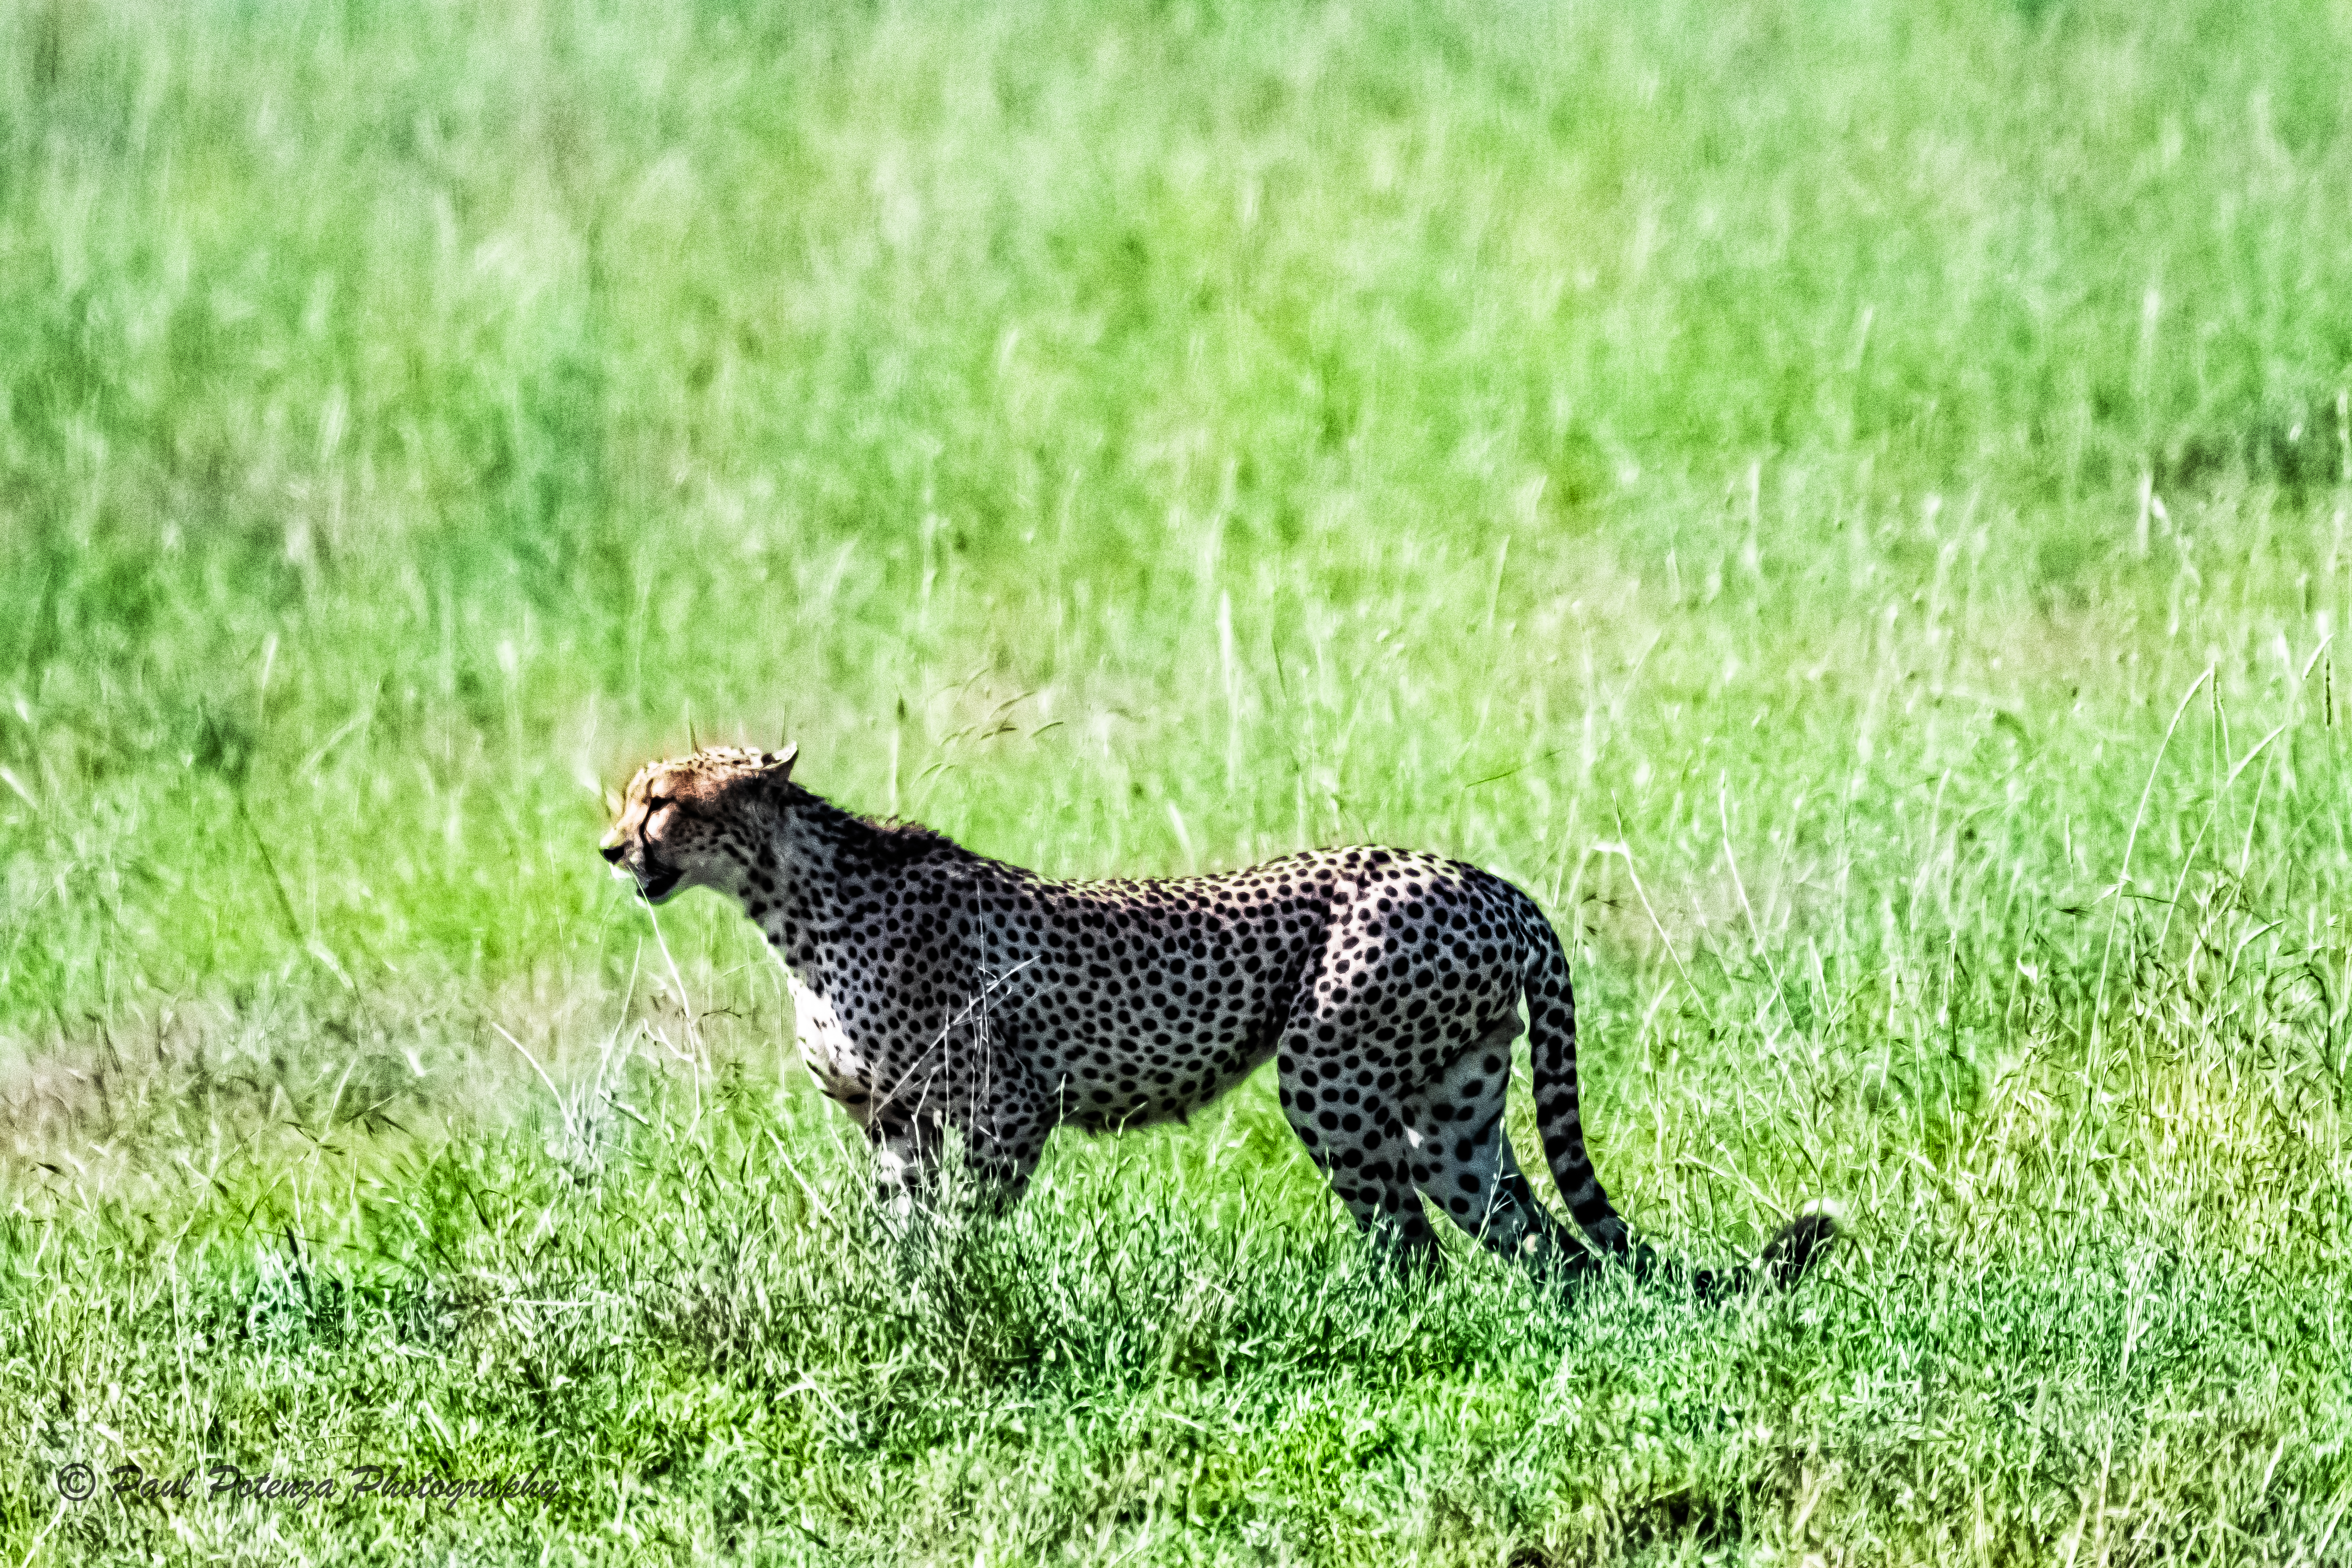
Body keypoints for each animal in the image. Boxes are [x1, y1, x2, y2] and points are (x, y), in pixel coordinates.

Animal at [600, 744, 1836, 1292]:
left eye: (662, 800)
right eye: (627, 796)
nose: (612, 847)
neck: (790, 901)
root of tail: (1486, 880)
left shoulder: (1007, 1111)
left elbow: (958, 1231)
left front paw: (944, 1296)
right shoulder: (895, 1125)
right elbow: (899, 1230)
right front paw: (894, 1303)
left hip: (1328, 1071)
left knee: (1413, 1246)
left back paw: (1369, 1322)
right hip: (1454, 1111)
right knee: (1533, 1240)